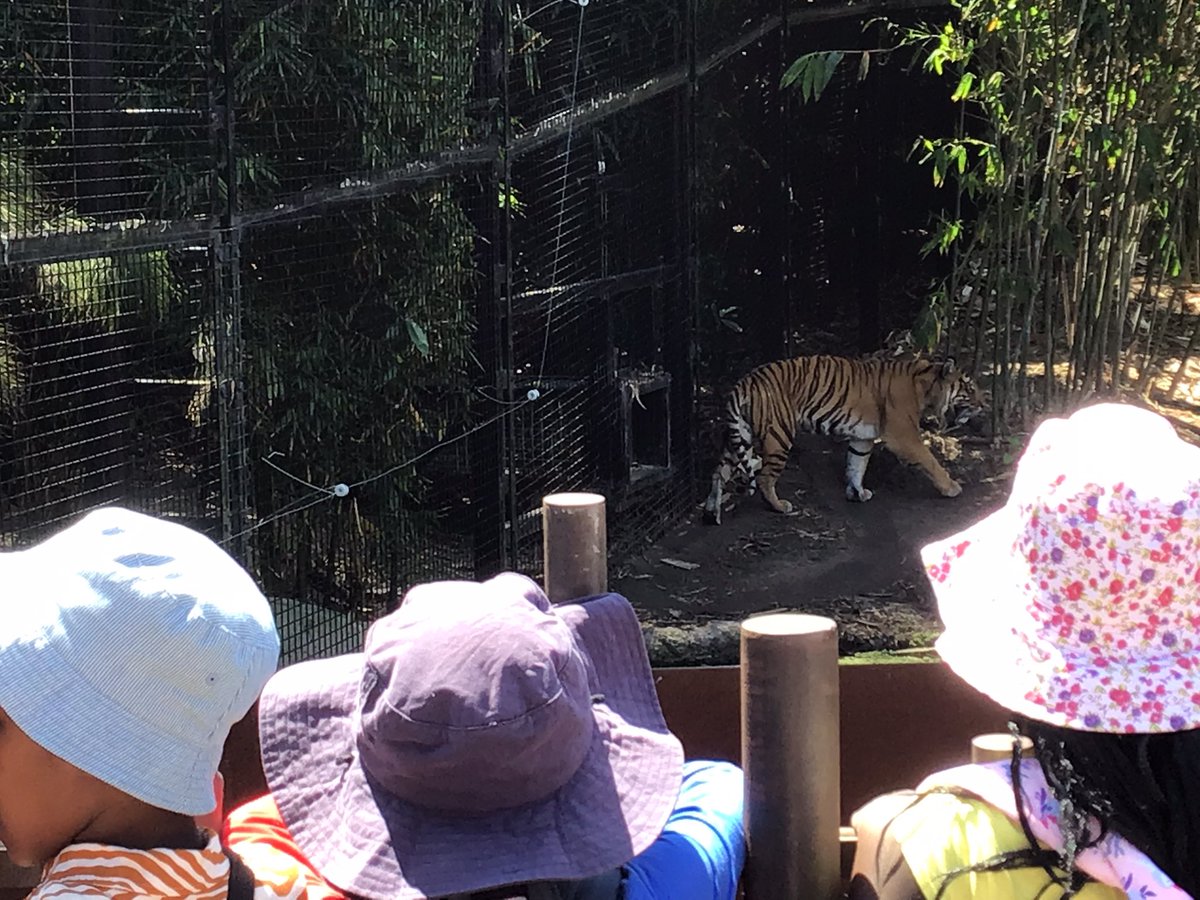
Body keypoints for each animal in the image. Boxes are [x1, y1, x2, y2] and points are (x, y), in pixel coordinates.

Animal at [702, 354, 981, 525]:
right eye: (969, 388)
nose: (984, 403)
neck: (925, 386)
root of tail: (744, 382)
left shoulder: (863, 438)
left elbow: (856, 465)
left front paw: (857, 492)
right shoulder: (903, 436)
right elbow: (930, 460)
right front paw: (951, 487)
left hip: (740, 435)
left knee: (718, 472)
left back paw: (711, 512)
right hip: (778, 435)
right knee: (763, 478)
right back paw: (780, 506)